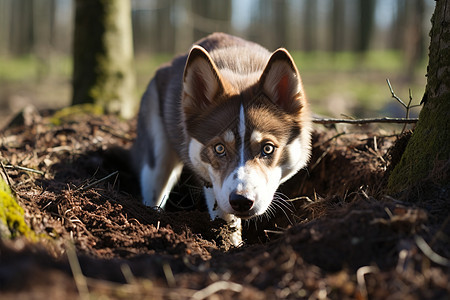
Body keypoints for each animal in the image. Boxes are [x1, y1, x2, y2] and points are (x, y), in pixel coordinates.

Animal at [132, 32, 312, 245]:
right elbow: (226, 222)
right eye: (219, 148)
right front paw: (230, 245)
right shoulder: (214, 185)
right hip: (157, 164)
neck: (240, 66)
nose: (241, 201)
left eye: (267, 148)